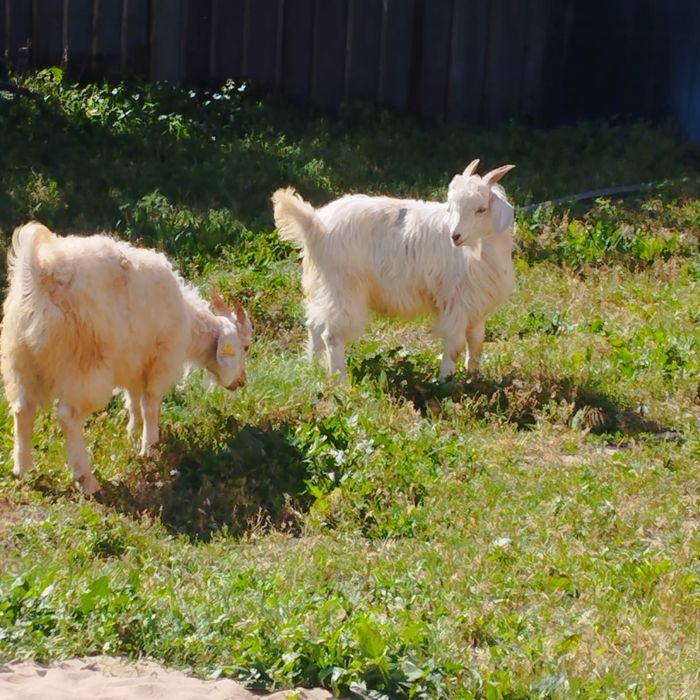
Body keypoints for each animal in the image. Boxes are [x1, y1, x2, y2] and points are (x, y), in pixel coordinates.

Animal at [0, 223, 253, 494]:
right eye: (245, 347)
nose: (241, 381)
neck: (187, 321)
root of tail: (38, 275)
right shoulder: (160, 362)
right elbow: (150, 404)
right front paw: (149, 447)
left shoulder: (132, 364)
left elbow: (133, 400)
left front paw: (133, 433)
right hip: (84, 369)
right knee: (68, 415)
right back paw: (87, 480)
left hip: (19, 363)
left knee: (23, 409)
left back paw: (22, 470)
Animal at [272, 159, 515, 381]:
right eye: (452, 207)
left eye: (481, 209)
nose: (455, 236)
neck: (480, 249)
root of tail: (314, 224)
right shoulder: (455, 303)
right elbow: (454, 345)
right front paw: (446, 382)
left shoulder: (476, 305)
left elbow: (476, 341)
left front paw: (474, 375)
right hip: (343, 288)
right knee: (332, 335)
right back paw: (340, 381)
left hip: (321, 286)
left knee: (314, 325)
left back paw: (312, 370)